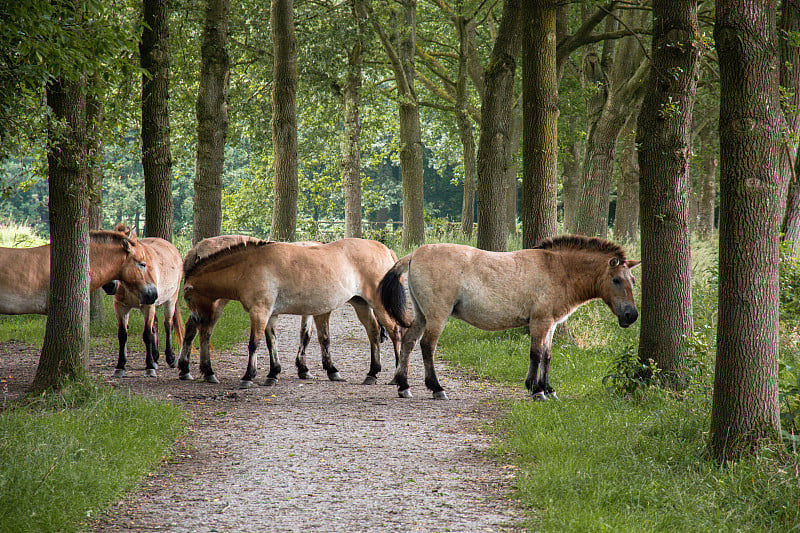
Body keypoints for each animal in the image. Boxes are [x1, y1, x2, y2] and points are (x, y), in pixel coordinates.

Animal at [108, 224, 184, 378]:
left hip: (170, 300)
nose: (109, 286)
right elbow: (122, 334)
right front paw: (120, 366)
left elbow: (147, 335)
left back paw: (170, 358)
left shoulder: (148, 306)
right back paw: (155, 357)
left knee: (168, 325)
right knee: (155, 325)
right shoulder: (121, 307)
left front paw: (149, 367)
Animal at [179, 236, 404, 386]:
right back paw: (372, 374)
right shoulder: (270, 314)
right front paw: (272, 374)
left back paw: (397, 375)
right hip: (361, 304)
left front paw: (248, 377)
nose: (199, 318)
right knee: (374, 333)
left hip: (377, 305)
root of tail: (385, 250)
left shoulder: (260, 312)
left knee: (395, 332)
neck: (250, 265)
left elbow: (254, 344)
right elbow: (271, 343)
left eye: (188, 297)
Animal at [378, 236, 640, 400]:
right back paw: (436, 388)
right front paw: (536, 390)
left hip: (422, 315)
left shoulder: (551, 325)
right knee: (427, 346)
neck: (558, 270)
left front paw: (548, 388)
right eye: (616, 280)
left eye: (633, 280)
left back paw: (403, 385)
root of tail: (414, 254)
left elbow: (547, 356)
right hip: (437, 316)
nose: (631, 315)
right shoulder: (540, 322)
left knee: (409, 341)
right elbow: (536, 354)